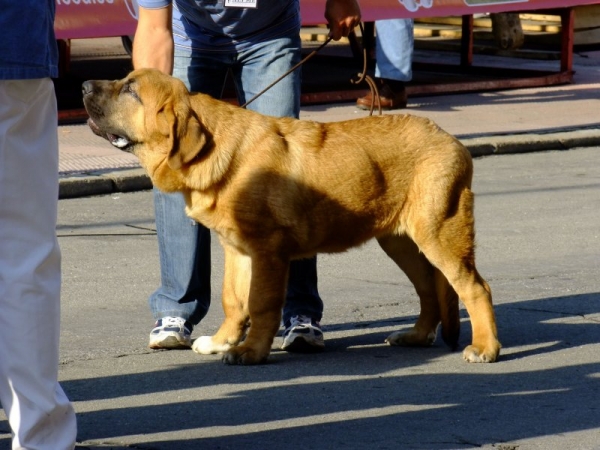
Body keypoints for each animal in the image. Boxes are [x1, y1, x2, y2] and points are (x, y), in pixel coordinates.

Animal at [82, 69, 500, 366]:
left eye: (131, 91)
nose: (84, 85)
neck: (216, 150)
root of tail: (449, 138)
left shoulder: (268, 252)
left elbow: (261, 303)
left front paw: (250, 352)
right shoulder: (238, 249)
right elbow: (233, 299)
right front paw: (221, 342)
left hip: (439, 233)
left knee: (474, 287)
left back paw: (485, 347)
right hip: (400, 241)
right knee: (428, 288)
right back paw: (416, 336)